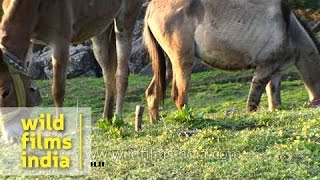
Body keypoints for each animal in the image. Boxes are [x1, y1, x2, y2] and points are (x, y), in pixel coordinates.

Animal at [0, 0, 142, 143]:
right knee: (108, 74)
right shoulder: (30, 43)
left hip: (124, 22)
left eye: (5, 93)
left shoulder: (60, 44)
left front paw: (59, 130)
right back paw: (106, 117)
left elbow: (58, 91)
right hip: (101, 30)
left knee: (121, 74)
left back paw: (118, 118)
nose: (10, 138)